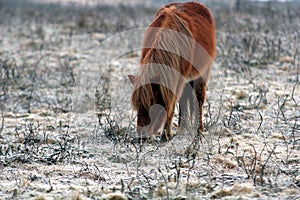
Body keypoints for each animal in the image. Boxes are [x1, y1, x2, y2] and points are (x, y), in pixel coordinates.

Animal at [128, 2, 216, 141]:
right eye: (137, 104)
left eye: (152, 102)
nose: (142, 134)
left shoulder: (177, 79)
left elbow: (171, 105)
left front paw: (166, 135)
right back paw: (182, 128)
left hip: (202, 73)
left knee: (199, 99)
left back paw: (199, 129)